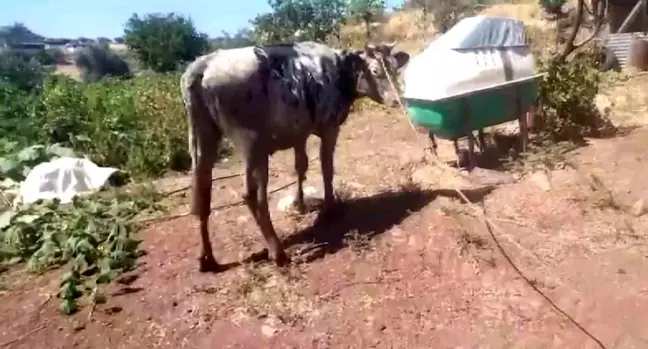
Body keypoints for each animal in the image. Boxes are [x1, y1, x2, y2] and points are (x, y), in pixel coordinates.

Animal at [180, 41, 408, 272]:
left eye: (395, 68)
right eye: (375, 71)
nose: (396, 100)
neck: (339, 69)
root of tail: (204, 64)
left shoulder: (299, 133)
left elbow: (301, 167)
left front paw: (300, 204)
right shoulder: (329, 127)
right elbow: (326, 167)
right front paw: (330, 207)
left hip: (202, 138)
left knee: (201, 193)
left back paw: (208, 259)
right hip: (252, 143)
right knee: (252, 195)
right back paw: (278, 252)